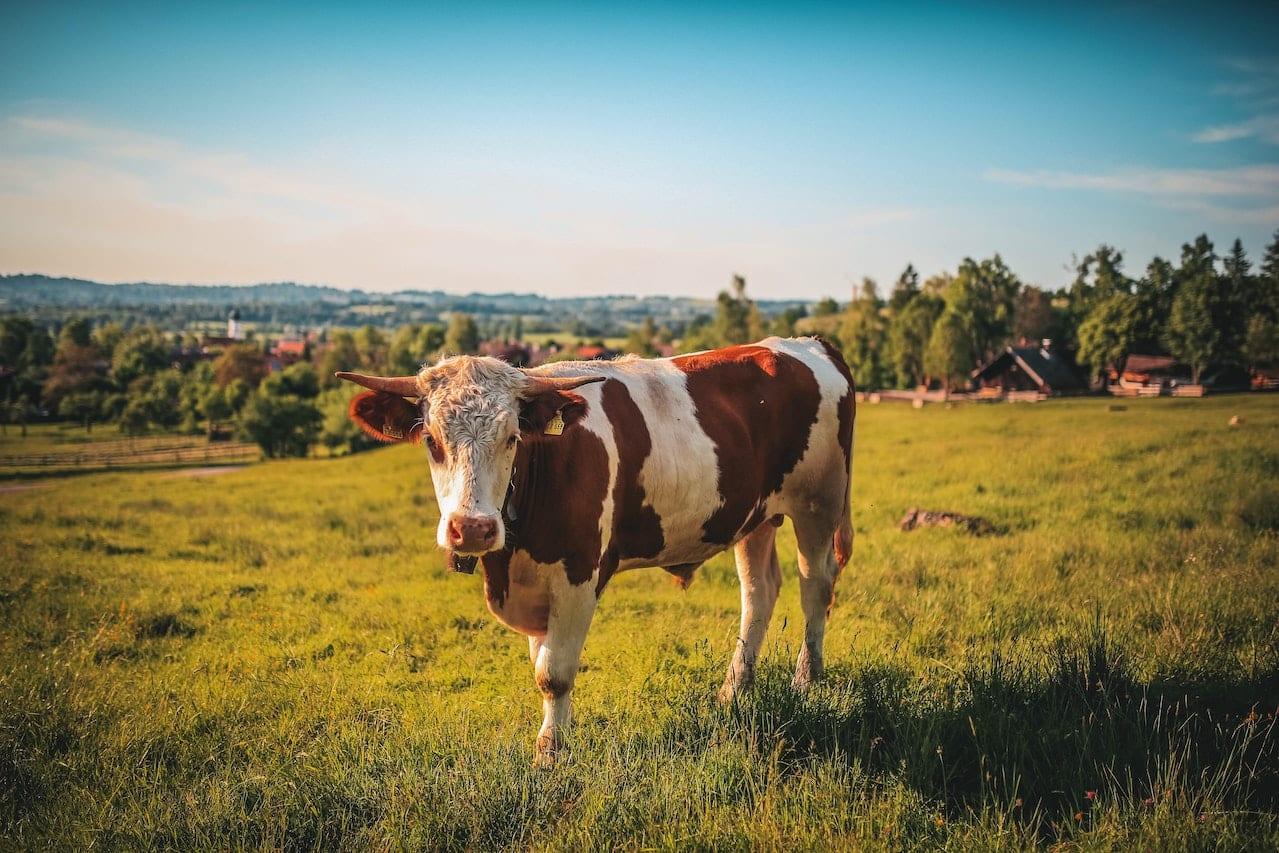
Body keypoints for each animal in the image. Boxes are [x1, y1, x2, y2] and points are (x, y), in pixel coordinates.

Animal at [340, 337, 854, 762]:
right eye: (431, 440)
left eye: (512, 437)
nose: (472, 528)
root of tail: (807, 343)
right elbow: (541, 661)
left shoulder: (578, 575)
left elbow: (554, 673)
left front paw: (550, 753)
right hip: (756, 517)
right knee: (759, 592)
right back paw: (734, 690)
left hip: (819, 502)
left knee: (815, 586)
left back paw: (806, 681)